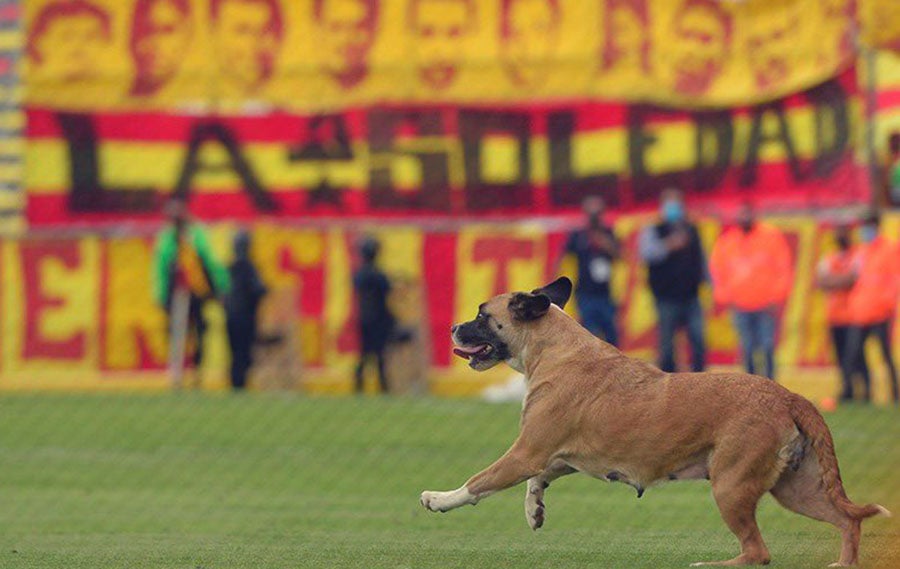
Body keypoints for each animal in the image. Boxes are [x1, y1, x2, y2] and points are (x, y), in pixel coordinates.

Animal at [420, 278, 884, 564]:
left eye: (482, 315)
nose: (453, 327)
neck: (555, 347)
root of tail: (788, 395)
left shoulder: (525, 452)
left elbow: (478, 483)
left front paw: (439, 499)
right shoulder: (555, 457)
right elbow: (540, 478)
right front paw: (534, 508)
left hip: (731, 486)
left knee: (758, 552)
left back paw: (711, 564)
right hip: (795, 488)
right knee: (847, 520)